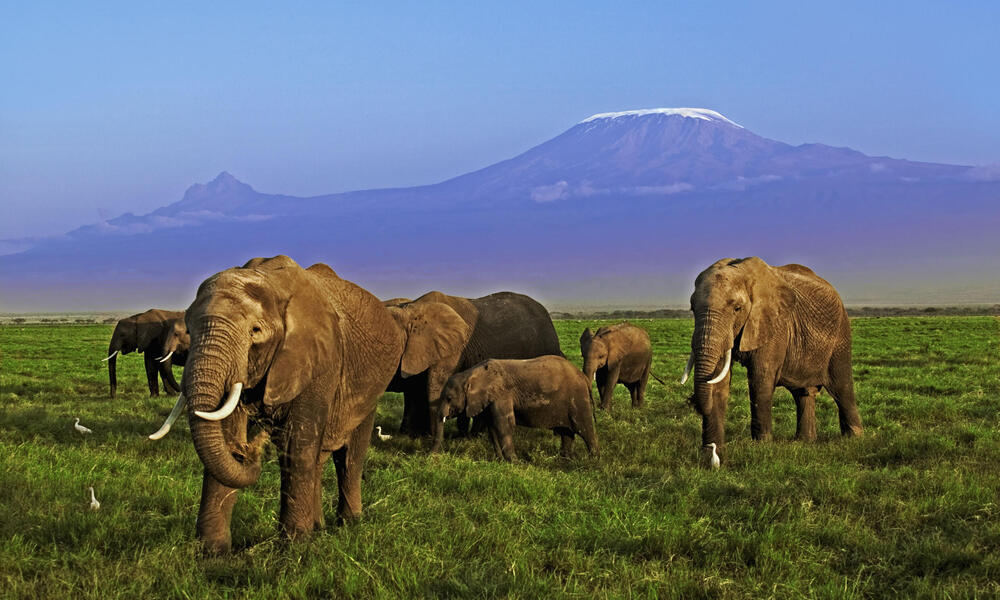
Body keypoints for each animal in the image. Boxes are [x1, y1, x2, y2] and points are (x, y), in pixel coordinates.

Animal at [146, 254, 404, 552]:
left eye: (255, 331)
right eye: (189, 330)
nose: (250, 449)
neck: (269, 280)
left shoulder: (319, 359)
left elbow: (297, 443)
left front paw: (294, 547)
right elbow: (226, 432)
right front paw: (213, 552)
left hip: (370, 386)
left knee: (349, 456)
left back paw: (349, 524)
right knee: (319, 458)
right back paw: (319, 527)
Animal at [436, 356, 592, 460]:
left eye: (449, 398)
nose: (432, 456)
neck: (470, 374)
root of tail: (583, 376)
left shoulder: (502, 394)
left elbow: (504, 425)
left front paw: (513, 462)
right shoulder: (490, 399)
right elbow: (493, 427)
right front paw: (499, 460)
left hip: (578, 399)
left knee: (585, 430)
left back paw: (593, 460)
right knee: (567, 432)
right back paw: (566, 459)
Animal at [684, 255, 864, 466]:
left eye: (737, 308)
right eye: (692, 308)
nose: (692, 402)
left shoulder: (774, 325)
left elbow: (760, 378)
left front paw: (761, 448)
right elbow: (719, 382)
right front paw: (711, 455)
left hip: (841, 335)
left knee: (842, 387)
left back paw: (854, 438)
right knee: (803, 393)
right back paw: (804, 441)